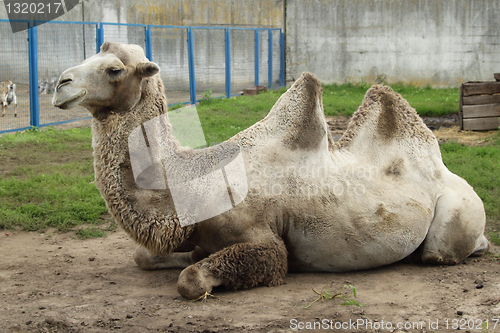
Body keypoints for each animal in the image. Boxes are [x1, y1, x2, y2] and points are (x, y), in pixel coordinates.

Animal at [52, 41, 486, 298]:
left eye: (114, 70)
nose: (60, 83)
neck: (194, 180)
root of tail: (452, 174)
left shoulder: (265, 243)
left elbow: (192, 280)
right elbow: (144, 257)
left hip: (456, 212)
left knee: (440, 252)